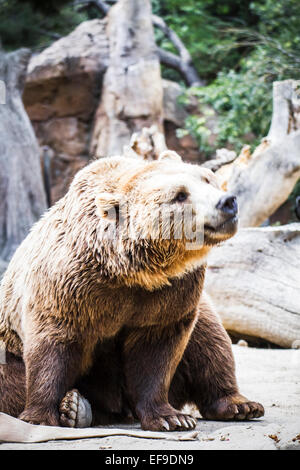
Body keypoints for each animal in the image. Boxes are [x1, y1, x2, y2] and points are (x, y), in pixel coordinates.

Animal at [0, 151, 262, 430]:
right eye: (180, 194)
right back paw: (76, 408)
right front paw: (39, 417)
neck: (131, 271)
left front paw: (171, 418)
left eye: (208, 180)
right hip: (8, 350)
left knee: (210, 338)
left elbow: (156, 350)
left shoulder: (171, 292)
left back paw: (239, 405)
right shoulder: (68, 286)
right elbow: (52, 342)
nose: (227, 201)